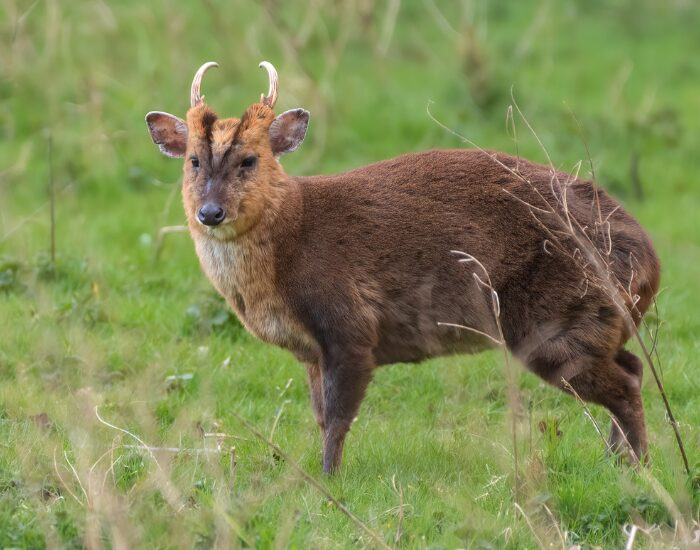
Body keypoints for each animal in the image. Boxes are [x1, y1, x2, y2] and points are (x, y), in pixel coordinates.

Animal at [145, 61, 660, 473]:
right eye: (193, 161)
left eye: (250, 160)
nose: (210, 212)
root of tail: (650, 262)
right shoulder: (311, 351)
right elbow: (318, 415)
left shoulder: (350, 326)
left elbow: (337, 418)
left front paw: (328, 480)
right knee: (633, 367)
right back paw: (617, 460)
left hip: (557, 319)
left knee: (625, 385)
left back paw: (638, 468)